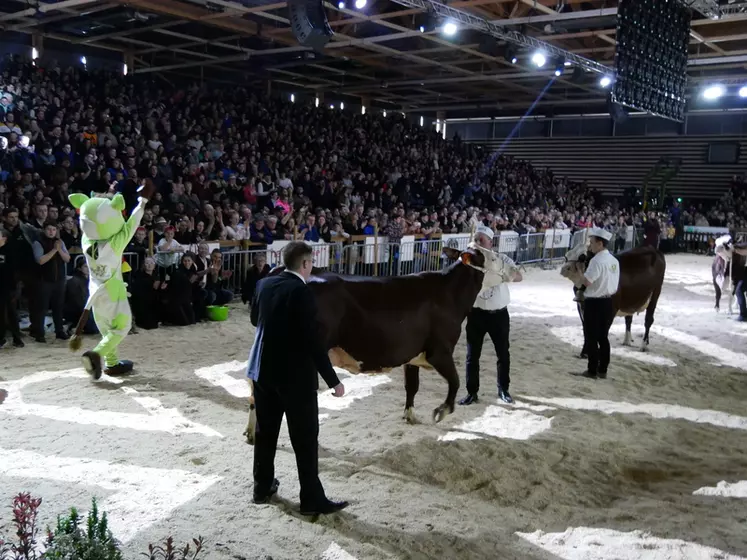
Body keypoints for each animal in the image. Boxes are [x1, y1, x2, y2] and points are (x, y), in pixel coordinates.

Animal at [245, 244, 516, 442]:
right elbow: (455, 381)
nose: (514, 268)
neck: (450, 295)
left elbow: (412, 387)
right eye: (493, 257)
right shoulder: (440, 351)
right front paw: (441, 411)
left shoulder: (412, 355)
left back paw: (250, 433)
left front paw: (410, 416)